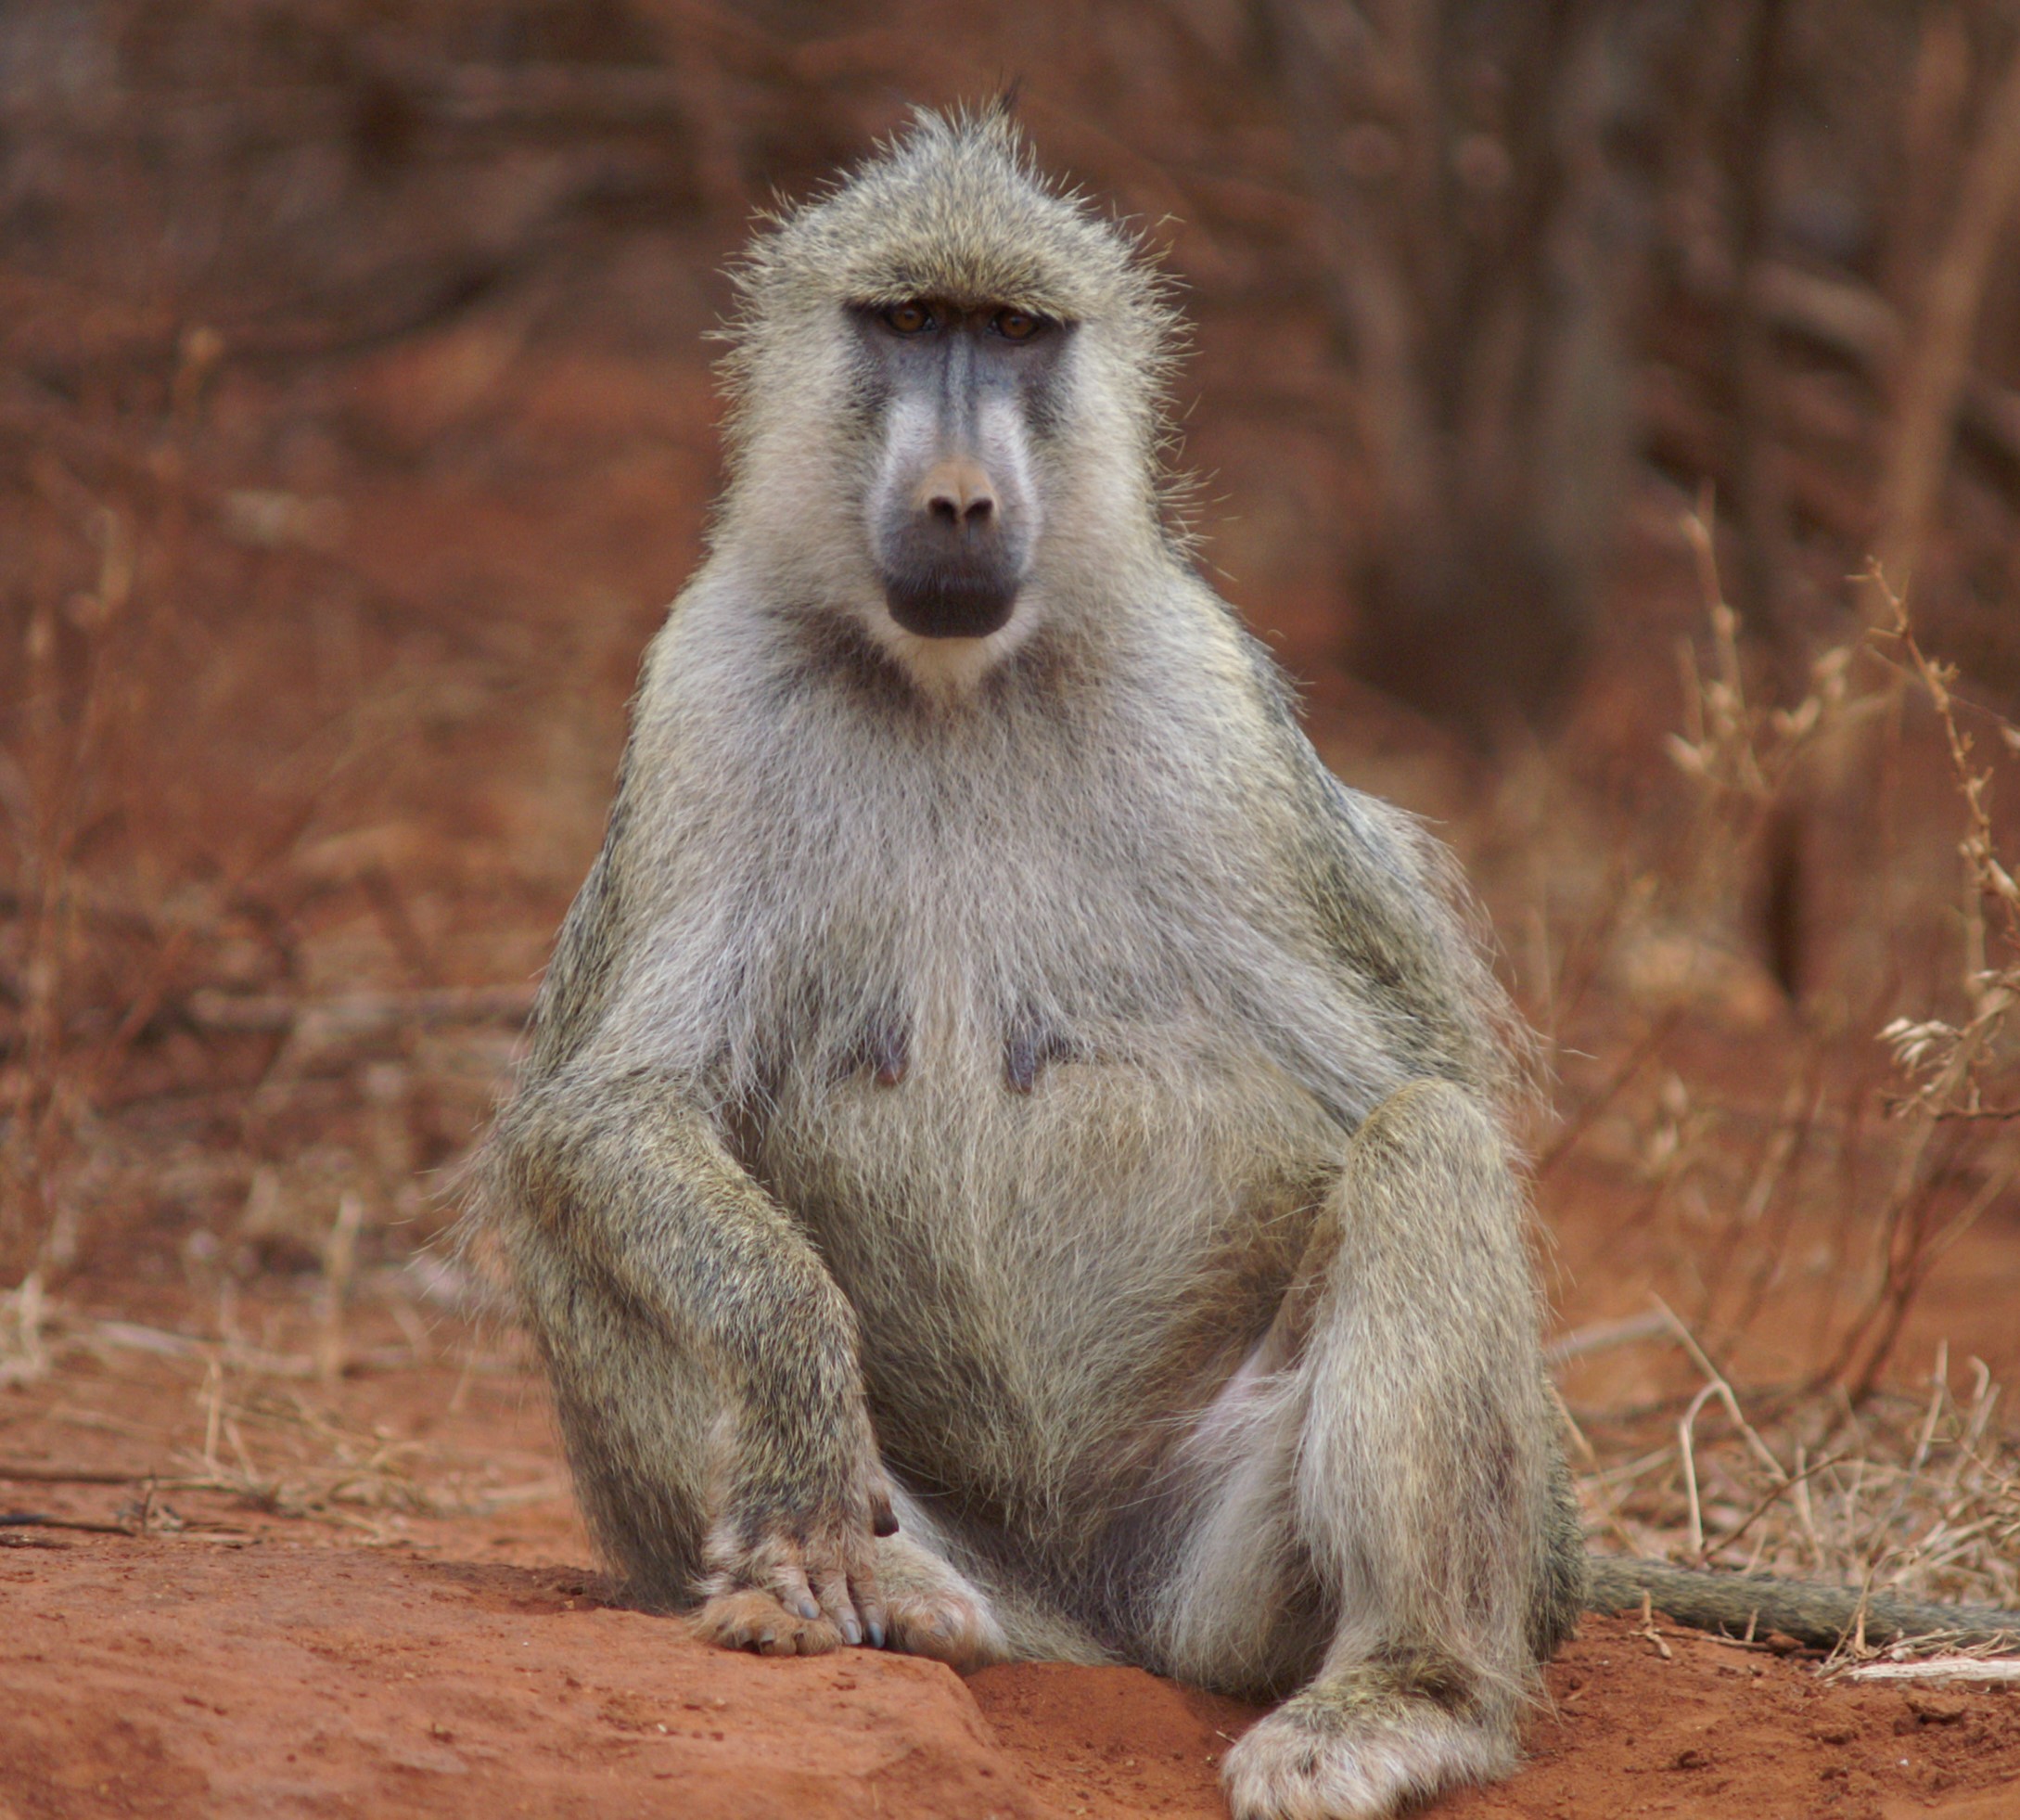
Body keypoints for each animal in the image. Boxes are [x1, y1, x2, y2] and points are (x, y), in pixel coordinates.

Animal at [478, 105, 2020, 1820]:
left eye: (1015, 333)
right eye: (908, 321)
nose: (957, 503)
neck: (953, 686)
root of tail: (1085, 1613)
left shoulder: (1206, 701)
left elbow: (1411, 1075)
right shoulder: (702, 685)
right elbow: (609, 1111)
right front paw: (801, 1400)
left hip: (1226, 1572)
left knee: (1422, 1149)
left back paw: (1414, 1688)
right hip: (1002, 1571)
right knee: (568, 1209)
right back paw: (880, 1591)